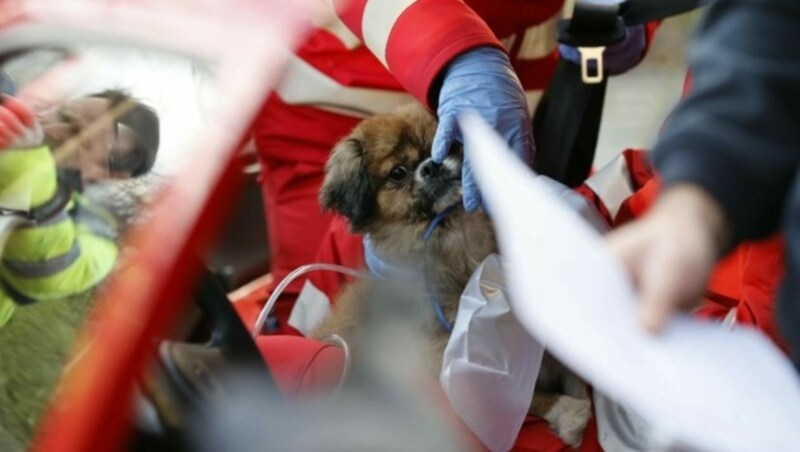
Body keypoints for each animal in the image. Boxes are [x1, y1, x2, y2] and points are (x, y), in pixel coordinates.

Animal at [312, 103, 588, 448]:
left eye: (447, 146)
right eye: (398, 173)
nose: (432, 164)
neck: (458, 254)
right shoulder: (451, 368)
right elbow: (526, 400)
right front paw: (569, 413)